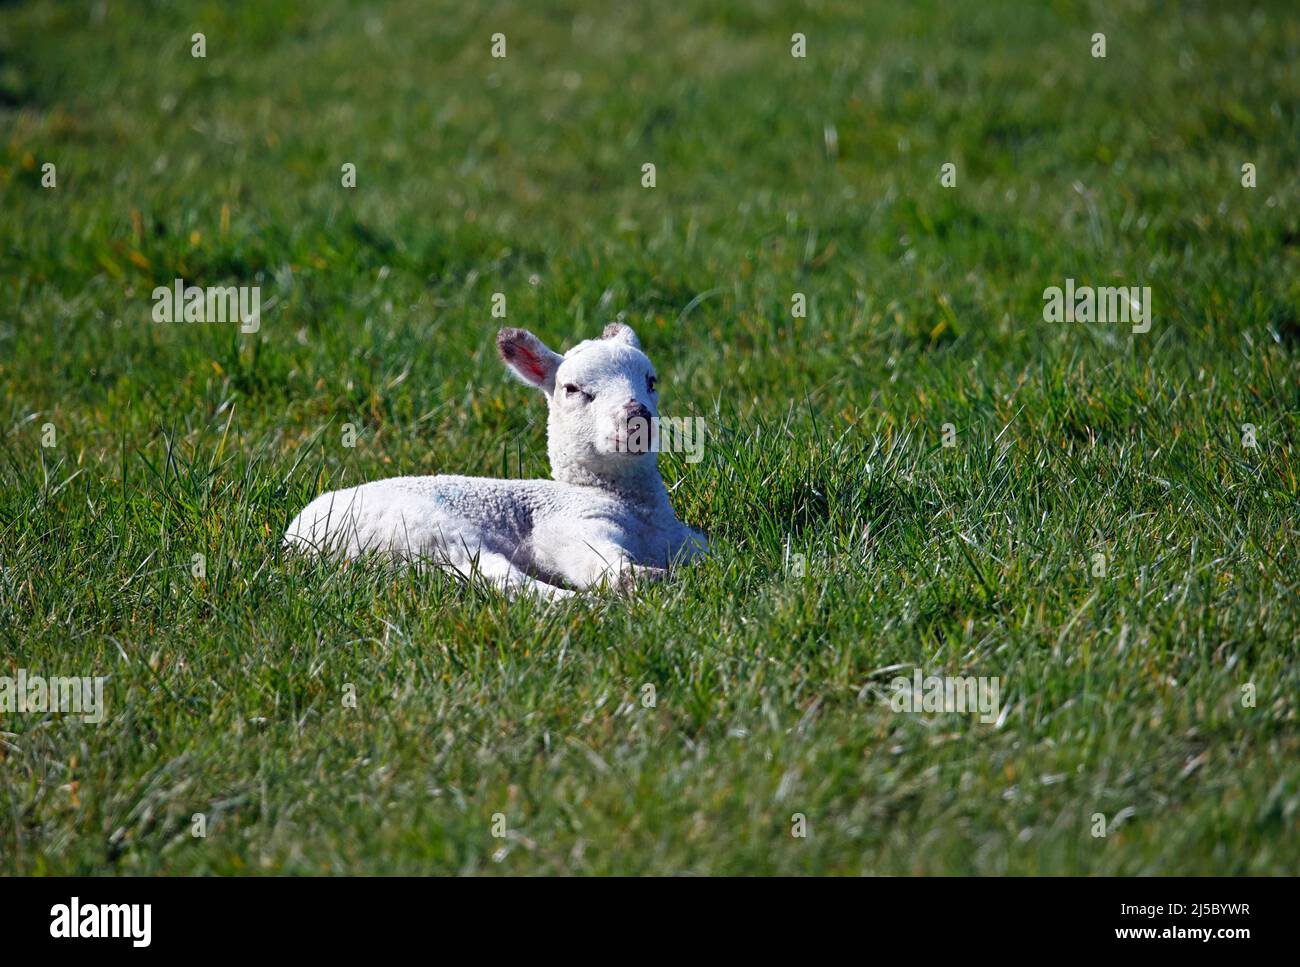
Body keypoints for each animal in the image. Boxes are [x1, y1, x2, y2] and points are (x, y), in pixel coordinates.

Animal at [286, 324, 712, 597]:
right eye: (572, 389)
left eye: (651, 381)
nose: (637, 415)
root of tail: (301, 540)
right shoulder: (567, 522)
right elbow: (591, 559)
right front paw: (638, 578)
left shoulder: (682, 538)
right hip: (424, 530)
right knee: (500, 579)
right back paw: (581, 605)